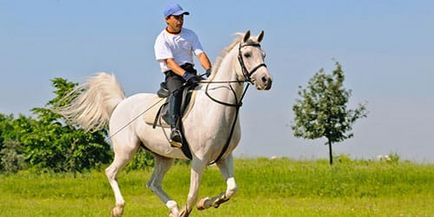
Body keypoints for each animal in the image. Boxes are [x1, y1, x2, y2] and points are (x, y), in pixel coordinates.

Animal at [59, 31, 272, 217]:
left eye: (263, 54)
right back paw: (119, 208)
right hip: (127, 150)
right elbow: (192, 194)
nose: (266, 80)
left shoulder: (224, 157)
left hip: (164, 157)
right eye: (247, 54)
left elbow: (232, 189)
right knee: (111, 172)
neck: (217, 107)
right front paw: (191, 208)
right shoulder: (199, 159)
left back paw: (173, 209)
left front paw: (206, 203)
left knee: (153, 183)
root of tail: (121, 103)